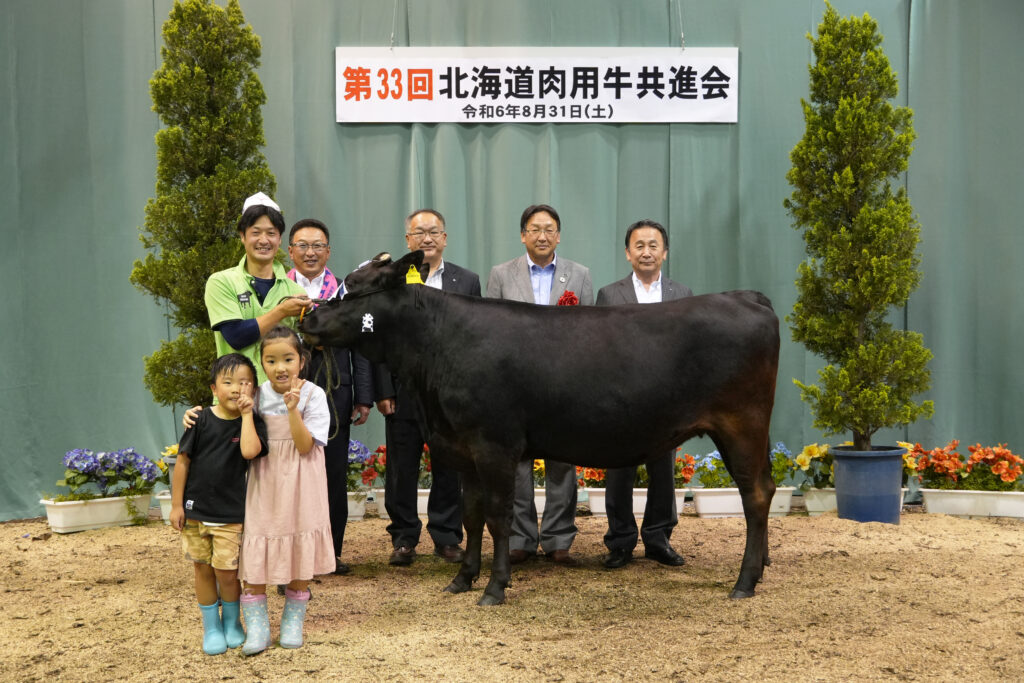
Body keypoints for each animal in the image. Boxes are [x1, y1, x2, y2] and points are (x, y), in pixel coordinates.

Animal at [299, 250, 778, 602]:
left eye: (353, 288)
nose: (306, 319)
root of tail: (747, 297)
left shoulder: (494, 444)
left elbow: (498, 516)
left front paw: (494, 587)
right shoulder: (463, 447)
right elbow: (472, 515)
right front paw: (463, 579)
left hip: (742, 424)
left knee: (755, 495)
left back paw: (744, 582)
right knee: (767, 488)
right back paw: (760, 570)